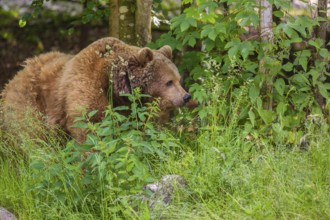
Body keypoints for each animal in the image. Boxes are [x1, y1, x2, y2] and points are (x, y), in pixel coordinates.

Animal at [0, 37, 191, 142]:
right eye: (168, 82)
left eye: (178, 79)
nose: (186, 97)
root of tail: (16, 75)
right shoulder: (87, 87)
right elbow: (88, 127)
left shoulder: (131, 109)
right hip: (30, 103)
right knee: (31, 137)